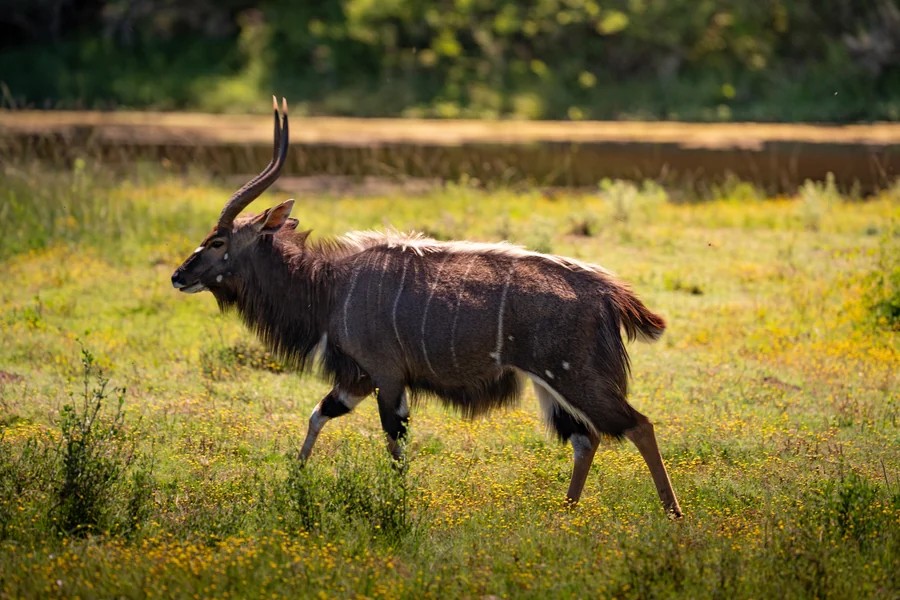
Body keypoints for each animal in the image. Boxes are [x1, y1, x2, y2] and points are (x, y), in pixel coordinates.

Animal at [171, 98, 682, 517]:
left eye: (216, 241)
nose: (178, 276)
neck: (329, 288)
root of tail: (608, 292)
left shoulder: (386, 376)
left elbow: (394, 445)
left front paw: (399, 505)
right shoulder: (358, 379)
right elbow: (319, 414)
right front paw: (294, 482)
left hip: (577, 378)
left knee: (637, 425)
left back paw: (673, 514)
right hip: (550, 384)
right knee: (585, 438)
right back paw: (566, 513)